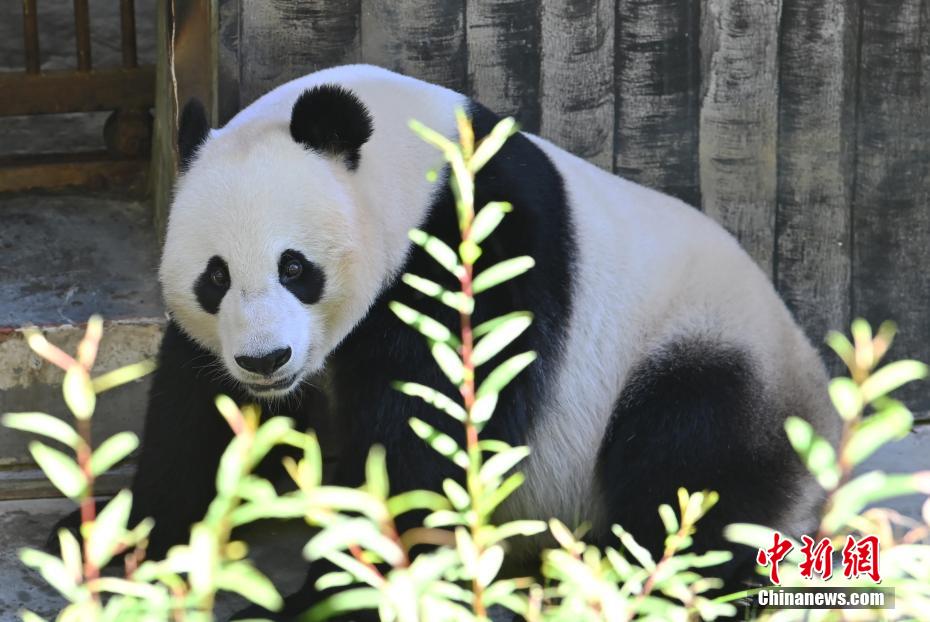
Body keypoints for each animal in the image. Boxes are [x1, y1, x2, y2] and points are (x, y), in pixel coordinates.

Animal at [63, 64, 840, 620]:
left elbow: (428, 437)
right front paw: (114, 539)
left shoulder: (477, 248)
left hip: (710, 350)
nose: (264, 361)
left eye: (295, 268)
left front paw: (331, 598)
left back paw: (613, 579)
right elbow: (198, 420)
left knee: (690, 467)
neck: (413, 172)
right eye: (215, 277)